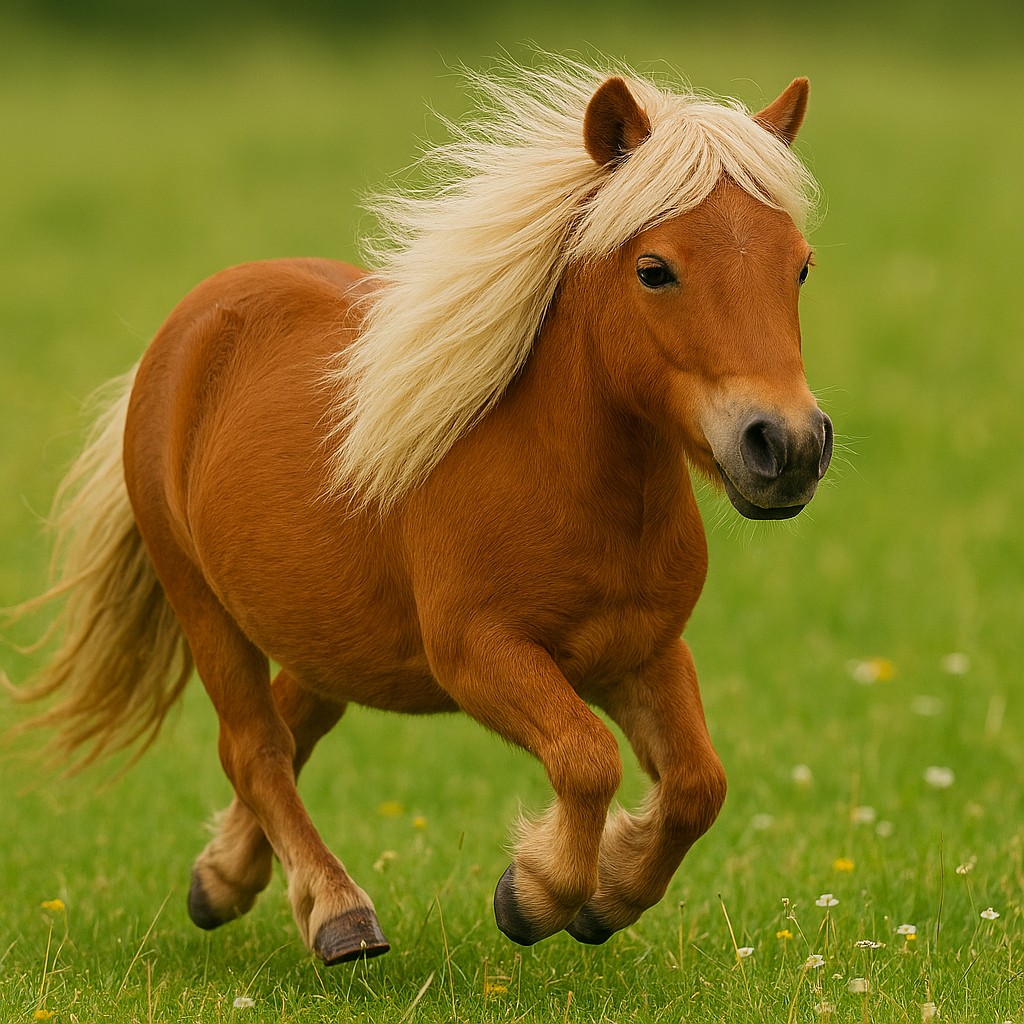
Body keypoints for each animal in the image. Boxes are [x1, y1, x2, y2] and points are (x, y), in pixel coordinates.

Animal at [6, 62, 832, 964]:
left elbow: (696, 786)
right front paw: (534, 895)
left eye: (799, 267)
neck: (568, 484)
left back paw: (224, 877)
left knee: (295, 722)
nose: (787, 445)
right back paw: (336, 913)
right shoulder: (477, 654)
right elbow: (587, 759)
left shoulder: (642, 651)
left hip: (325, 627)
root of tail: (188, 326)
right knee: (255, 747)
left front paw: (607, 895)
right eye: (655, 269)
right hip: (201, 603)